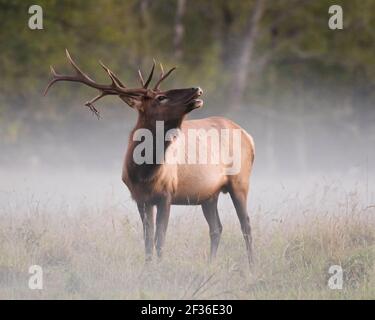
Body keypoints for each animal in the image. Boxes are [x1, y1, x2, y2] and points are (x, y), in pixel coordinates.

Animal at [44, 50, 256, 264]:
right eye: (161, 97)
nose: (197, 88)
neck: (144, 172)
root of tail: (249, 136)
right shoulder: (140, 198)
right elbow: (147, 239)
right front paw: (148, 267)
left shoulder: (167, 194)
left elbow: (160, 238)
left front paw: (160, 268)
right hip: (209, 194)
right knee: (216, 228)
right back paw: (211, 264)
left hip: (240, 181)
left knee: (246, 224)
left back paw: (251, 266)